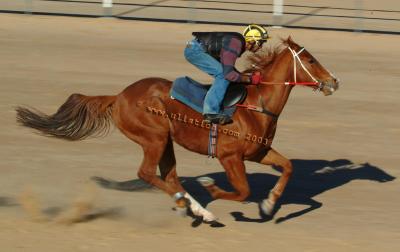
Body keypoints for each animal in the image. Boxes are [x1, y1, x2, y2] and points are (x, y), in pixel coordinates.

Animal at [17, 37, 340, 222]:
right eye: (310, 60)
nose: (334, 81)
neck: (257, 104)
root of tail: (118, 96)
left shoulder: (258, 152)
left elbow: (287, 167)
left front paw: (269, 205)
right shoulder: (230, 157)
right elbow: (241, 190)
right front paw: (214, 188)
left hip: (166, 142)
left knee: (169, 176)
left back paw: (193, 208)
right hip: (154, 138)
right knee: (148, 174)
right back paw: (194, 207)